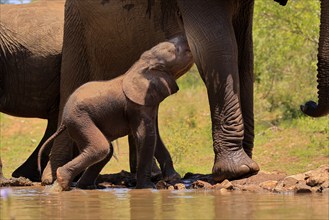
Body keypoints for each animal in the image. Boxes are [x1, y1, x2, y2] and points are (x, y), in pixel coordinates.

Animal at [37, 35, 192, 190]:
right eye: (174, 51)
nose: (184, 37)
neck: (142, 65)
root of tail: (63, 121)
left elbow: (155, 136)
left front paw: (173, 178)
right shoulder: (136, 106)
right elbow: (146, 136)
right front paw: (147, 188)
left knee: (105, 151)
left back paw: (86, 186)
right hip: (79, 119)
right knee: (101, 148)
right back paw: (62, 181)